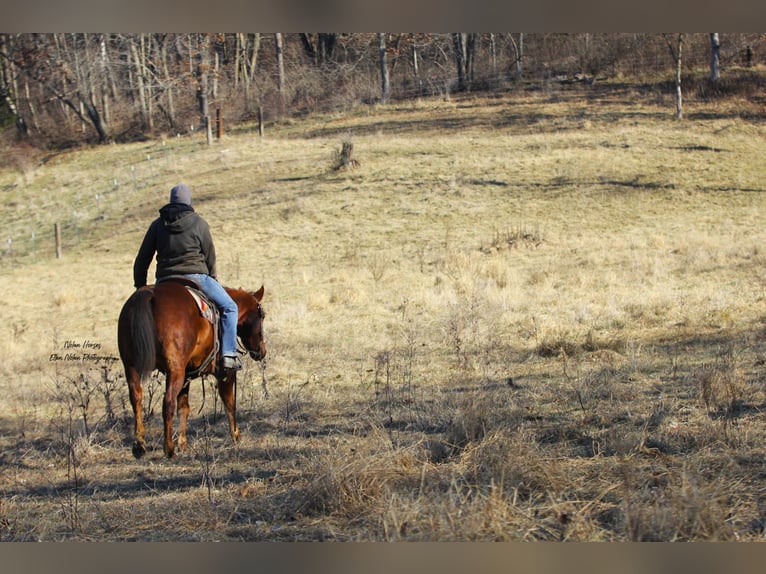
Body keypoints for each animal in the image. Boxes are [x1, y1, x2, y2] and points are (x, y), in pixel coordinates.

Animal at [118, 282, 268, 462]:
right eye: (262, 316)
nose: (262, 351)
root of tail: (149, 295)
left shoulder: (186, 376)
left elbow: (184, 408)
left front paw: (183, 442)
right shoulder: (225, 373)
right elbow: (229, 402)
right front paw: (236, 435)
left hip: (132, 368)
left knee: (136, 399)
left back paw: (139, 446)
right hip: (175, 371)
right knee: (168, 403)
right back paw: (169, 448)